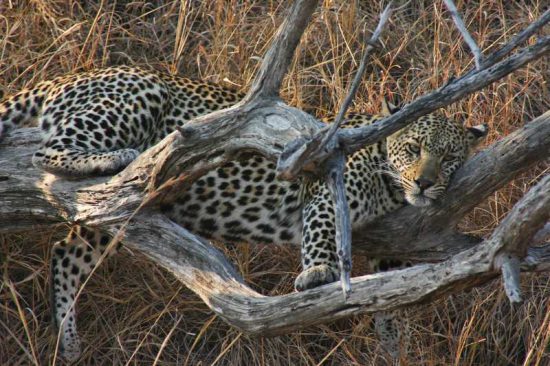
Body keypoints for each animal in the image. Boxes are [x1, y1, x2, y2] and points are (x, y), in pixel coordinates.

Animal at [0, 66, 490, 360]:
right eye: (414, 149)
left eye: (449, 158)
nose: (425, 183)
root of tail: (71, 75)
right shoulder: (328, 188)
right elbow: (323, 229)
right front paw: (318, 273)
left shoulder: (394, 243)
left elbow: (393, 295)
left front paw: (392, 340)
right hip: (134, 98)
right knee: (47, 155)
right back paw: (112, 156)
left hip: (113, 211)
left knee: (66, 253)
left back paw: (68, 343)